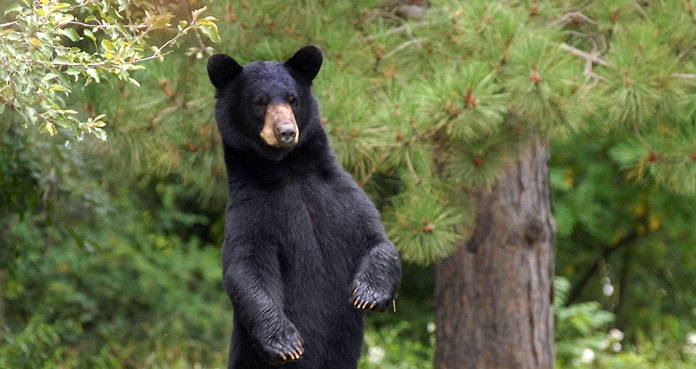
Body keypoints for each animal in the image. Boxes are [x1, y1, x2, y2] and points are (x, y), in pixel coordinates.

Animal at [207, 45, 402, 368]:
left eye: (292, 99)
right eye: (259, 102)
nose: (286, 131)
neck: (289, 171)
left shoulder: (338, 193)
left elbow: (376, 239)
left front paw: (369, 293)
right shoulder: (251, 209)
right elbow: (248, 267)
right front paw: (284, 341)